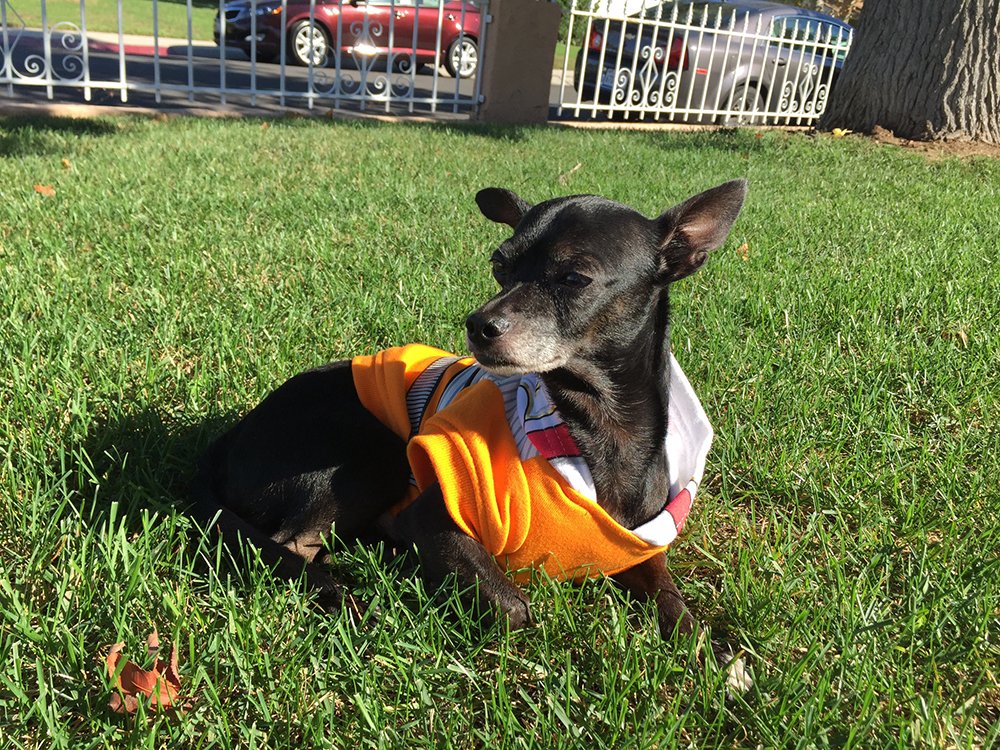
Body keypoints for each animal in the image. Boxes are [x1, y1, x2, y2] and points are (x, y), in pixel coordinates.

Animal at [191, 179, 748, 684]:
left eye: (573, 277)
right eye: (499, 266)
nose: (478, 323)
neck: (598, 425)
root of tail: (230, 438)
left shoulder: (640, 543)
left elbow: (670, 597)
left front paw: (710, 652)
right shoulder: (430, 514)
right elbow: (515, 607)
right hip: (376, 455)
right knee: (285, 547)